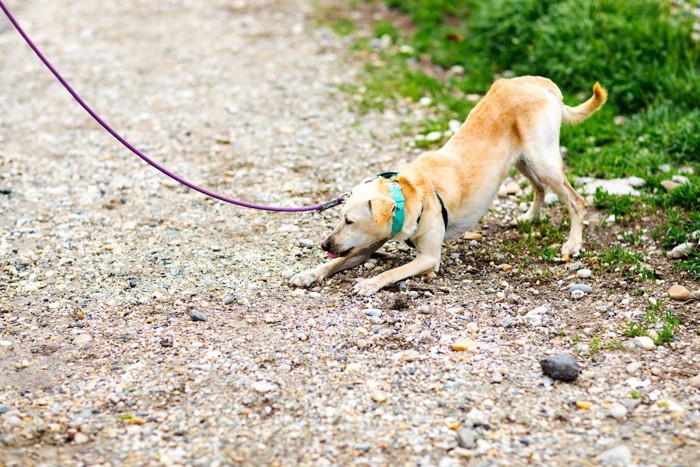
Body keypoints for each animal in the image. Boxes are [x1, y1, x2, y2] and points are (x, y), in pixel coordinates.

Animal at [290, 77, 608, 296]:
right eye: (339, 218)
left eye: (350, 221)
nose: (324, 244)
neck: (408, 195)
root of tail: (540, 82)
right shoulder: (364, 249)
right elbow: (333, 263)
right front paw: (309, 273)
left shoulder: (429, 258)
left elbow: (393, 272)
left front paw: (370, 282)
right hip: (521, 161)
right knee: (540, 188)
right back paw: (528, 218)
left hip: (542, 160)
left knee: (575, 200)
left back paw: (572, 244)